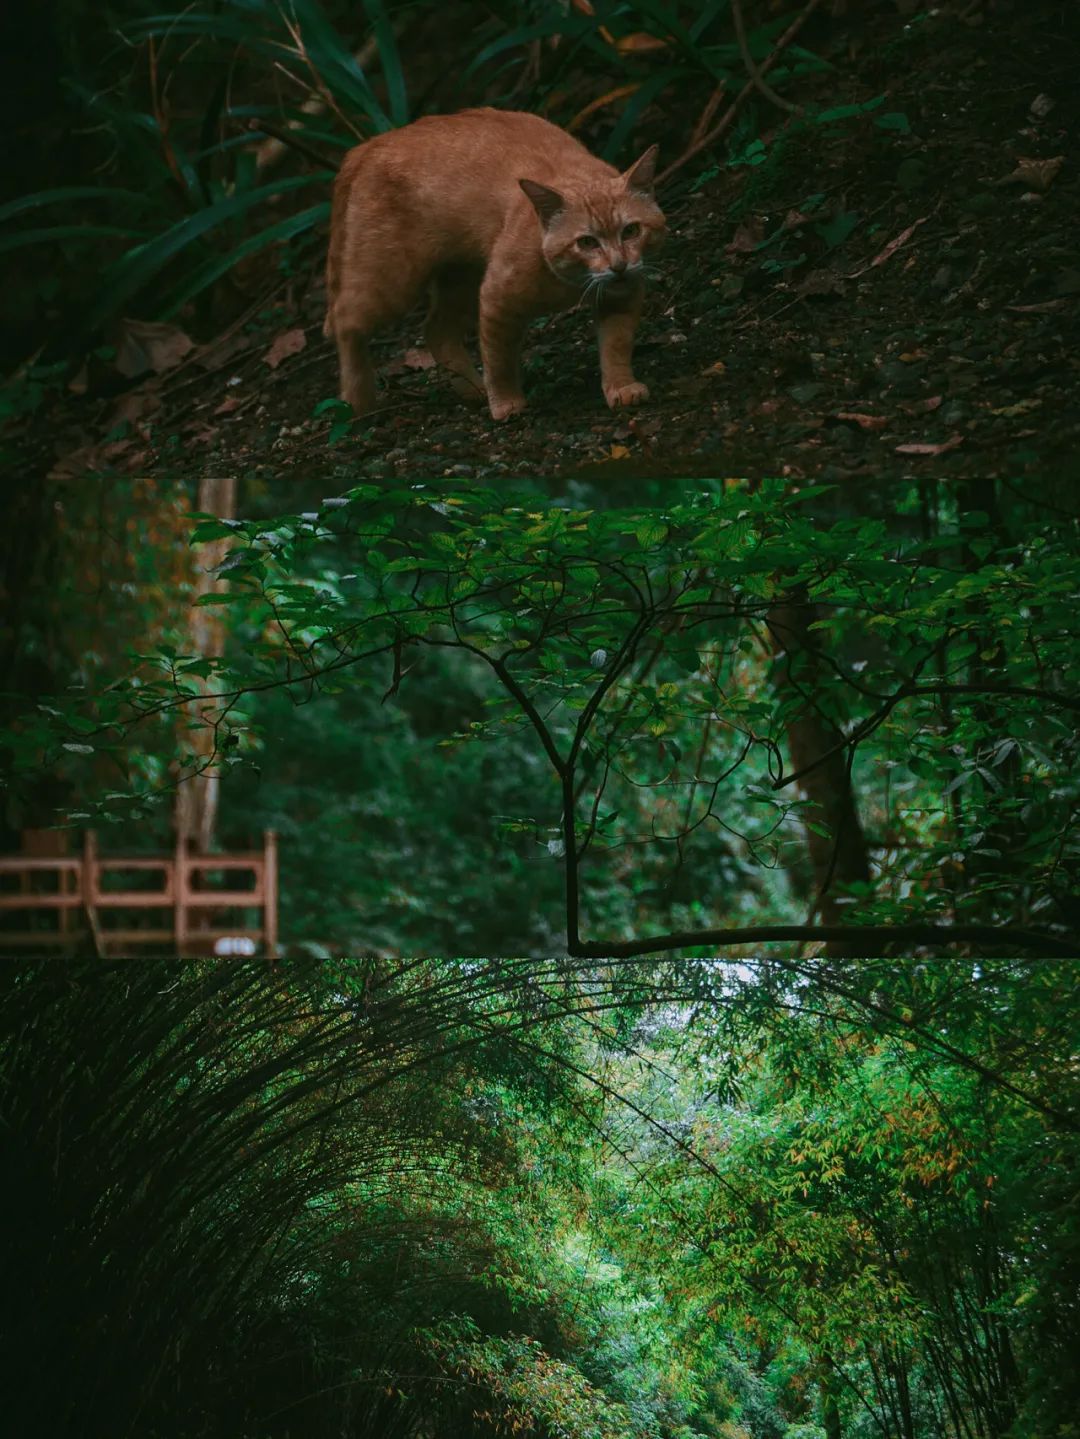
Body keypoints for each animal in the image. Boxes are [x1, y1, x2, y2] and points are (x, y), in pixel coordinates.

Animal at [320, 107, 664, 420]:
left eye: (631, 231)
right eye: (587, 242)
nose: (618, 266)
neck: (569, 282)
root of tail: (367, 146)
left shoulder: (623, 296)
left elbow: (616, 346)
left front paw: (621, 386)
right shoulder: (498, 300)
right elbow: (498, 361)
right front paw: (505, 403)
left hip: (461, 278)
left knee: (436, 330)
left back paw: (472, 389)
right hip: (393, 281)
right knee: (345, 321)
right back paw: (357, 403)